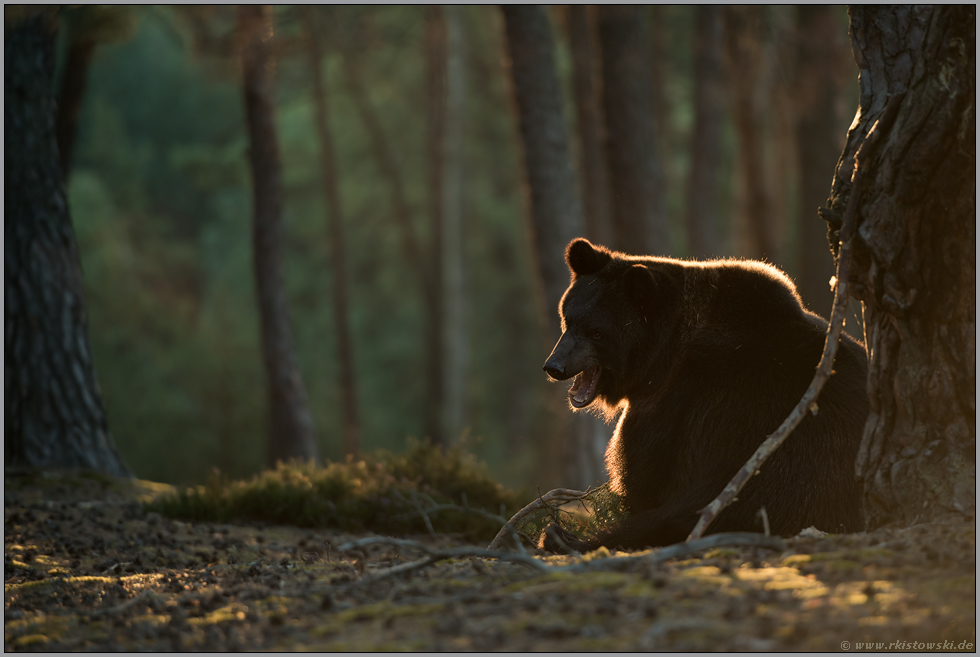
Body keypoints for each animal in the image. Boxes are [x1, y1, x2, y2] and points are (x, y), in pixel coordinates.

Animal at [540, 238, 868, 552]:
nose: (555, 366)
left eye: (597, 332)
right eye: (569, 318)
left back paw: (560, 537)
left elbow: (644, 475)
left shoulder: (678, 402)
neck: (660, 357)